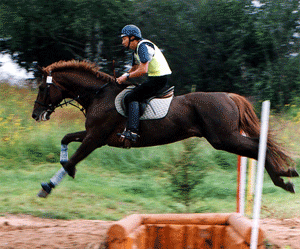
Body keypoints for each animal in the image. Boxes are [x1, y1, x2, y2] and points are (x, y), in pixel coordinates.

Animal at [31, 59, 298, 194]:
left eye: (43, 88)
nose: (36, 114)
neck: (99, 95)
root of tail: (229, 96)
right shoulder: (95, 135)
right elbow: (66, 139)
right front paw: (64, 171)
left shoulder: (95, 138)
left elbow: (72, 159)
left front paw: (48, 186)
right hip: (225, 137)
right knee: (256, 147)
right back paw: (284, 177)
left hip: (224, 138)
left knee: (256, 146)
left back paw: (283, 179)